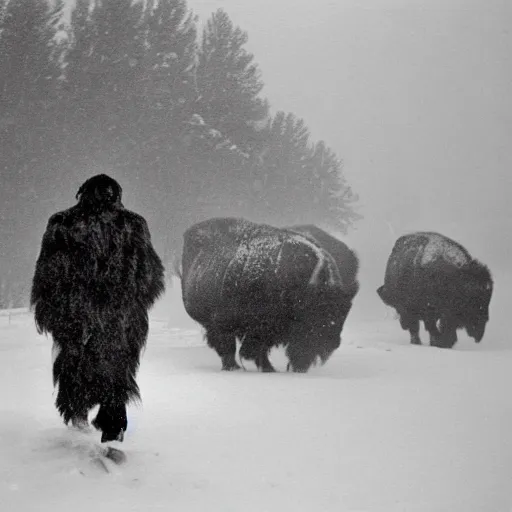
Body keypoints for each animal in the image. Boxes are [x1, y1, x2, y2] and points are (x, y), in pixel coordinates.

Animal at [180, 216, 356, 372]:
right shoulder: (259, 326)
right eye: (319, 310)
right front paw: (268, 368)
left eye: (345, 311)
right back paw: (232, 367)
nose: (333, 343)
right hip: (217, 323)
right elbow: (255, 348)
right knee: (226, 345)